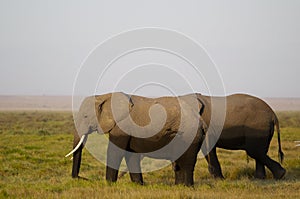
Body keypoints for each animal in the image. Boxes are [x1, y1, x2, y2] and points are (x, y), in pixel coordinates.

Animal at [65, 92, 206, 186]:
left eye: (85, 116)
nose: (80, 178)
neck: (105, 96)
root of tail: (201, 121)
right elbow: (130, 155)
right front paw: (138, 185)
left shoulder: (122, 126)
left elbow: (115, 152)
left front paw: (109, 184)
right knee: (178, 162)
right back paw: (178, 186)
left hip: (191, 135)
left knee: (187, 163)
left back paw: (188, 187)